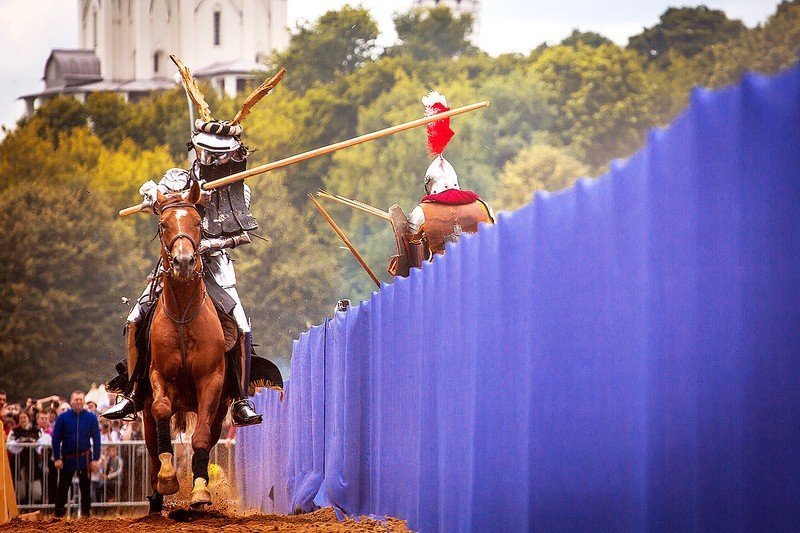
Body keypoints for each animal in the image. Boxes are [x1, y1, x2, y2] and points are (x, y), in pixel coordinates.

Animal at [144, 181, 230, 510]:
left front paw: (200, 490)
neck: (182, 315)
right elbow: (161, 408)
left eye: (197, 223)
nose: (183, 262)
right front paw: (168, 477)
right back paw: (156, 494)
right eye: (163, 224)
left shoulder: (212, 381)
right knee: (151, 445)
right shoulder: (158, 376)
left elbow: (202, 437)